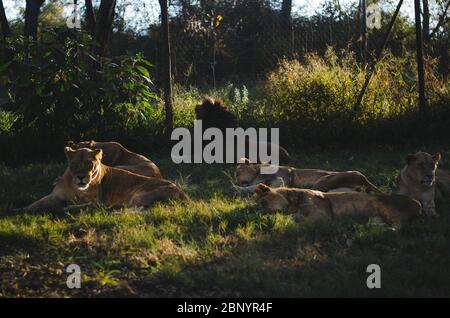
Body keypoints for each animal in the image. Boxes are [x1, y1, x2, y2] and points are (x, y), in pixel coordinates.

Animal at [253, 184, 422, 229]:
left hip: (385, 207)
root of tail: (418, 204)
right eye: (258, 206)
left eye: (263, 203)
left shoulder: (322, 215)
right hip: (376, 217)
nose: (260, 212)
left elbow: (301, 220)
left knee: (398, 227)